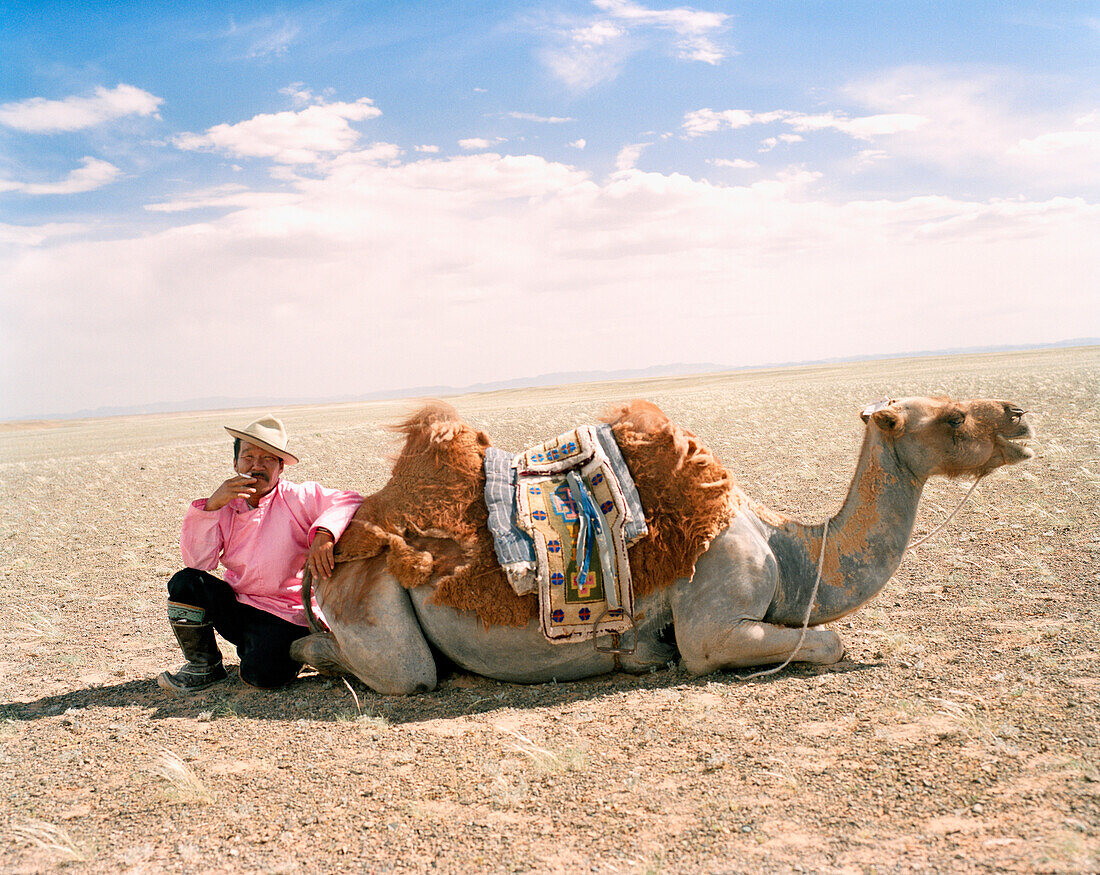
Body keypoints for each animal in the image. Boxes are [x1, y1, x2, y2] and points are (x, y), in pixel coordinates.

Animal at [290, 394, 1029, 695]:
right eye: (953, 417)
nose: (1020, 417)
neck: (789, 548)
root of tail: (338, 546)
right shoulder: (714, 623)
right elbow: (826, 641)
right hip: (374, 603)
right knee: (396, 669)